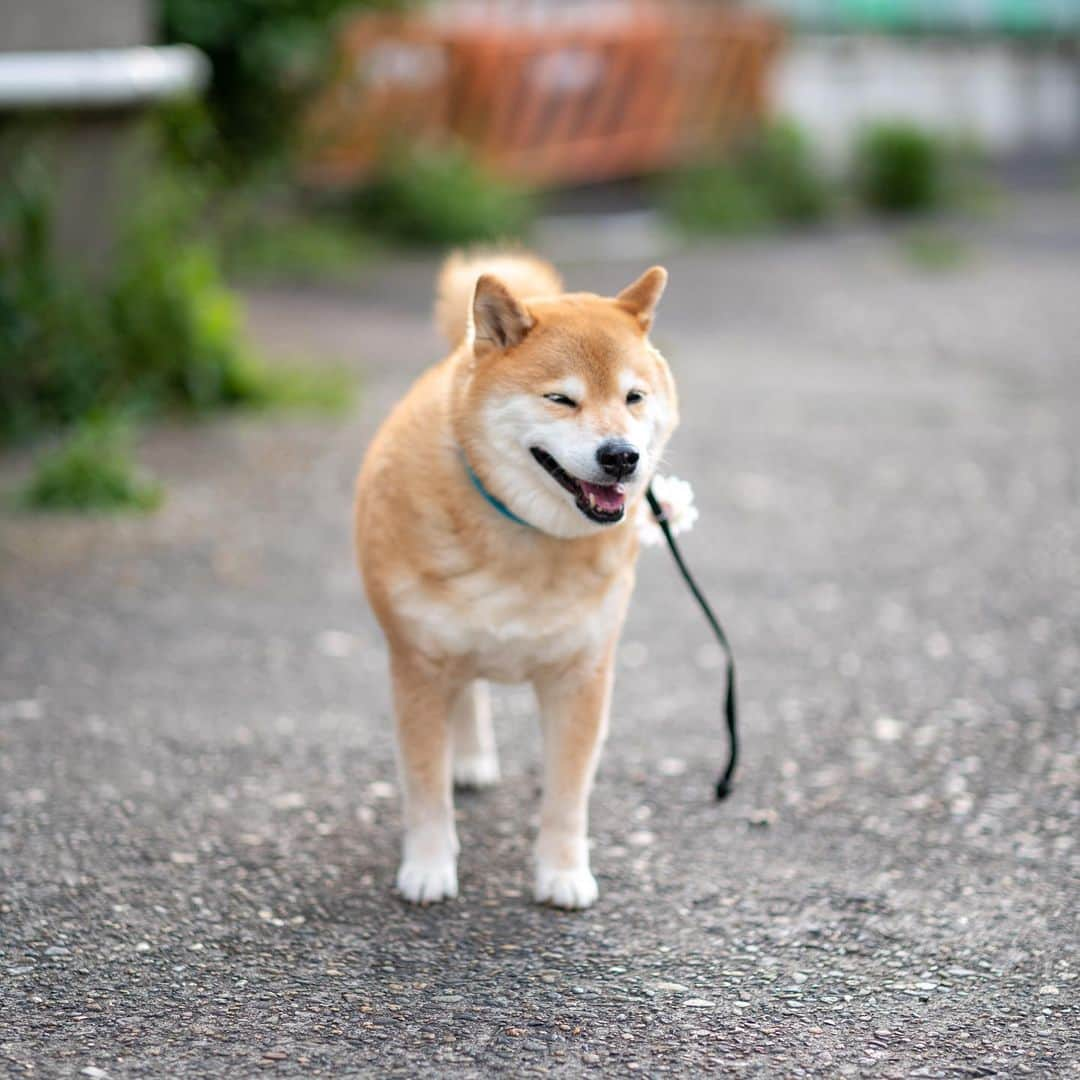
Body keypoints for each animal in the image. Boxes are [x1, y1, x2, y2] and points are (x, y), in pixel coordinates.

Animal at [356, 248, 673, 907]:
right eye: (561, 399)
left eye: (633, 396)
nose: (621, 456)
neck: (521, 532)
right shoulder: (418, 665)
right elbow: (424, 788)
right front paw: (428, 867)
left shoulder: (581, 677)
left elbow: (567, 797)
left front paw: (563, 873)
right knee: (467, 692)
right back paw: (469, 759)